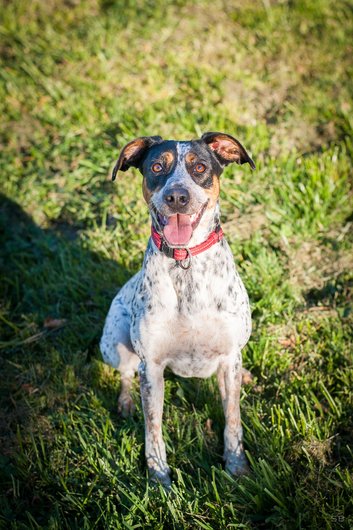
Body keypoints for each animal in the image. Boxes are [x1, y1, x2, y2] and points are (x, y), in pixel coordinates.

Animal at [100, 131, 254, 482]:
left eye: (199, 168)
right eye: (157, 167)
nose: (177, 197)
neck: (185, 261)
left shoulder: (229, 356)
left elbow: (233, 419)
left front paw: (237, 467)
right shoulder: (152, 367)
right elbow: (153, 428)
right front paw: (159, 480)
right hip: (115, 343)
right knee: (125, 374)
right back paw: (126, 403)